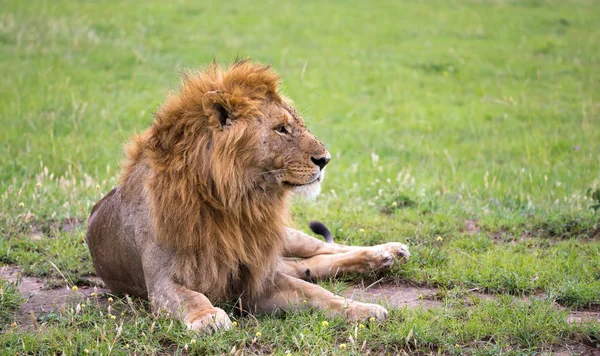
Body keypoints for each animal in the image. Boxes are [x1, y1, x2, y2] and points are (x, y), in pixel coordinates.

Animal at [86, 59, 410, 332]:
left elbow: (319, 294)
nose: (325, 160)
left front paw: (363, 309)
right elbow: (190, 297)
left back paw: (388, 252)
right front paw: (208, 317)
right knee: (309, 264)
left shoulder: (258, 277)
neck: (234, 200)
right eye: (281, 129)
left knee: (324, 248)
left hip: (284, 236)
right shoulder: (161, 280)